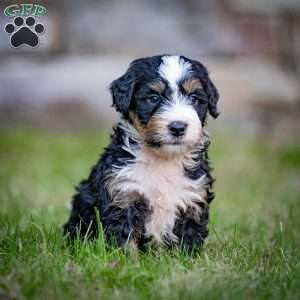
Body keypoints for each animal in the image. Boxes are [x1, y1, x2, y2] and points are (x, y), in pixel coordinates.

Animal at [63, 54, 218, 251]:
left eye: (194, 98)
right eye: (153, 97)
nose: (177, 127)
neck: (163, 159)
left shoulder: (192, 198)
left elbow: (188, 240)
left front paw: (187, 258)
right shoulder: (124, 194)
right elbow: (125, 238)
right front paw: (125, 257)